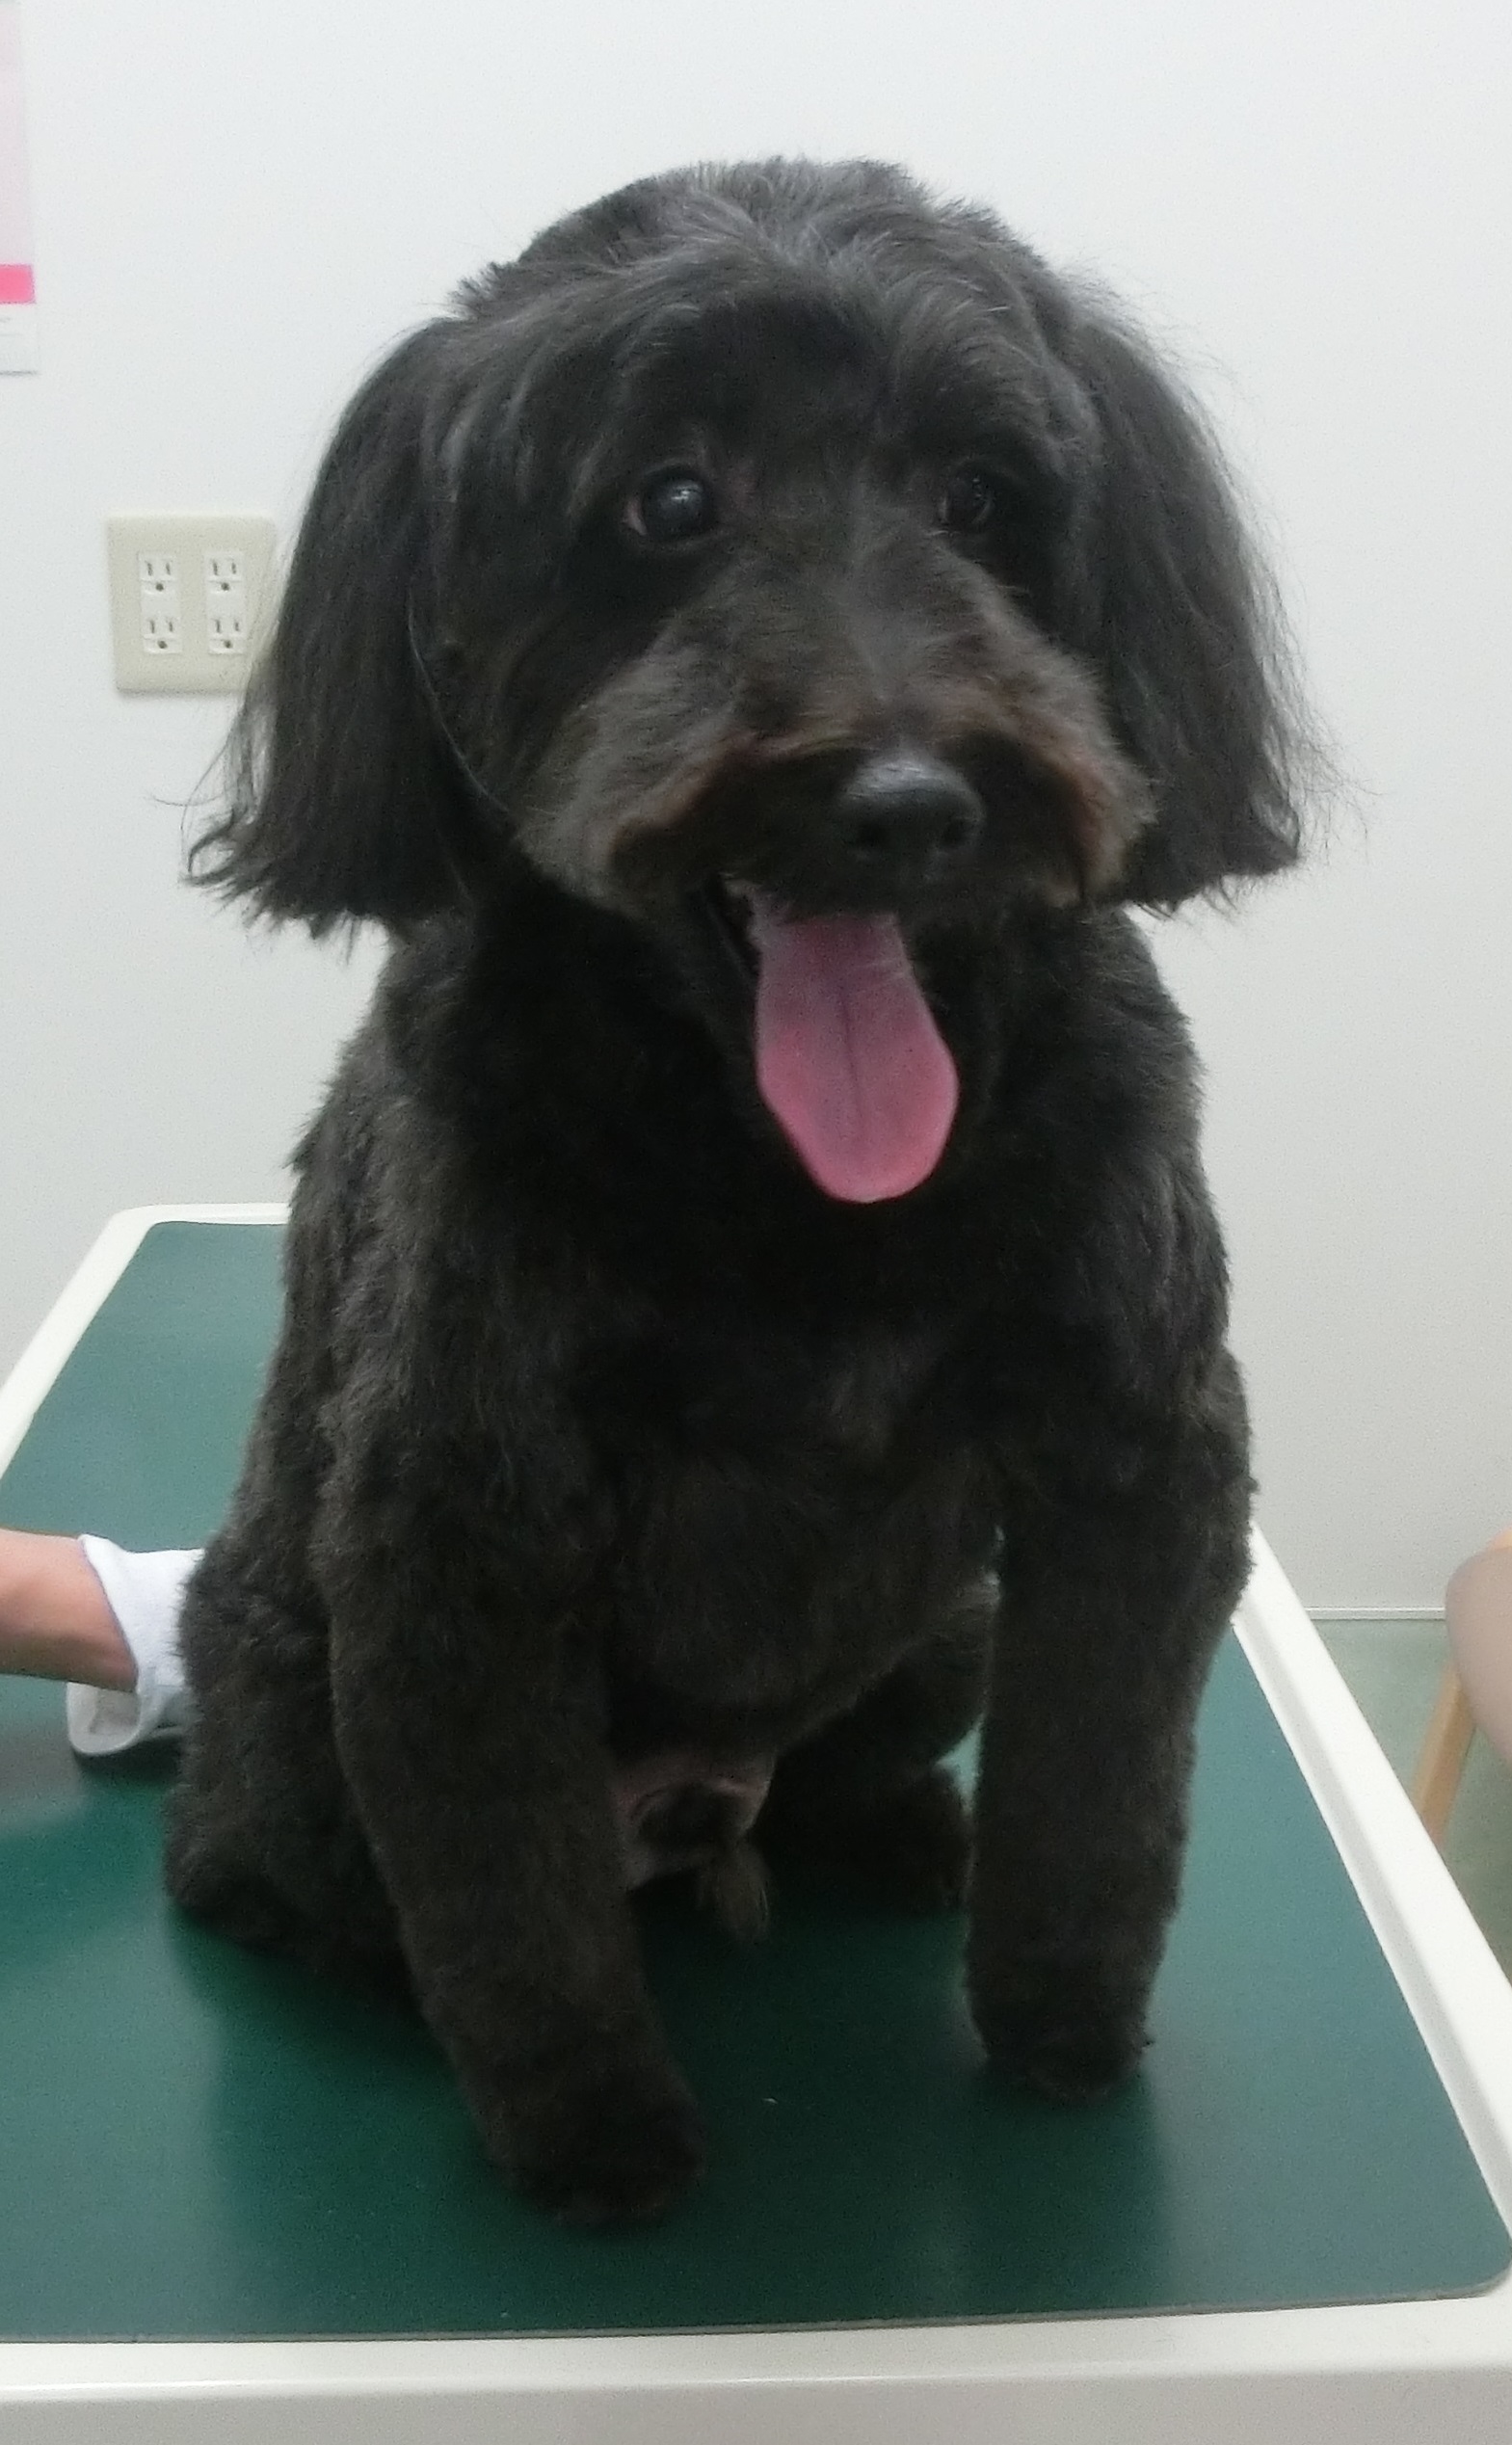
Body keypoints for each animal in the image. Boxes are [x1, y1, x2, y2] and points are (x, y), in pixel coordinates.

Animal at [165, 157, 1308, 2227]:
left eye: (980, 498)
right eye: (668, 501)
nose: (910, 804)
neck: (787, 1179)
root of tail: (701, 1813)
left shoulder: (1137, 1456)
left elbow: (1097, 1795)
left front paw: (1061, 2029)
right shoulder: (454, 1548)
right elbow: (515, 1907)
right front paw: (592, 2133)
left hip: (943, 1621)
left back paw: (899, 1828)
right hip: (292, 1695)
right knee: (273, 1868)